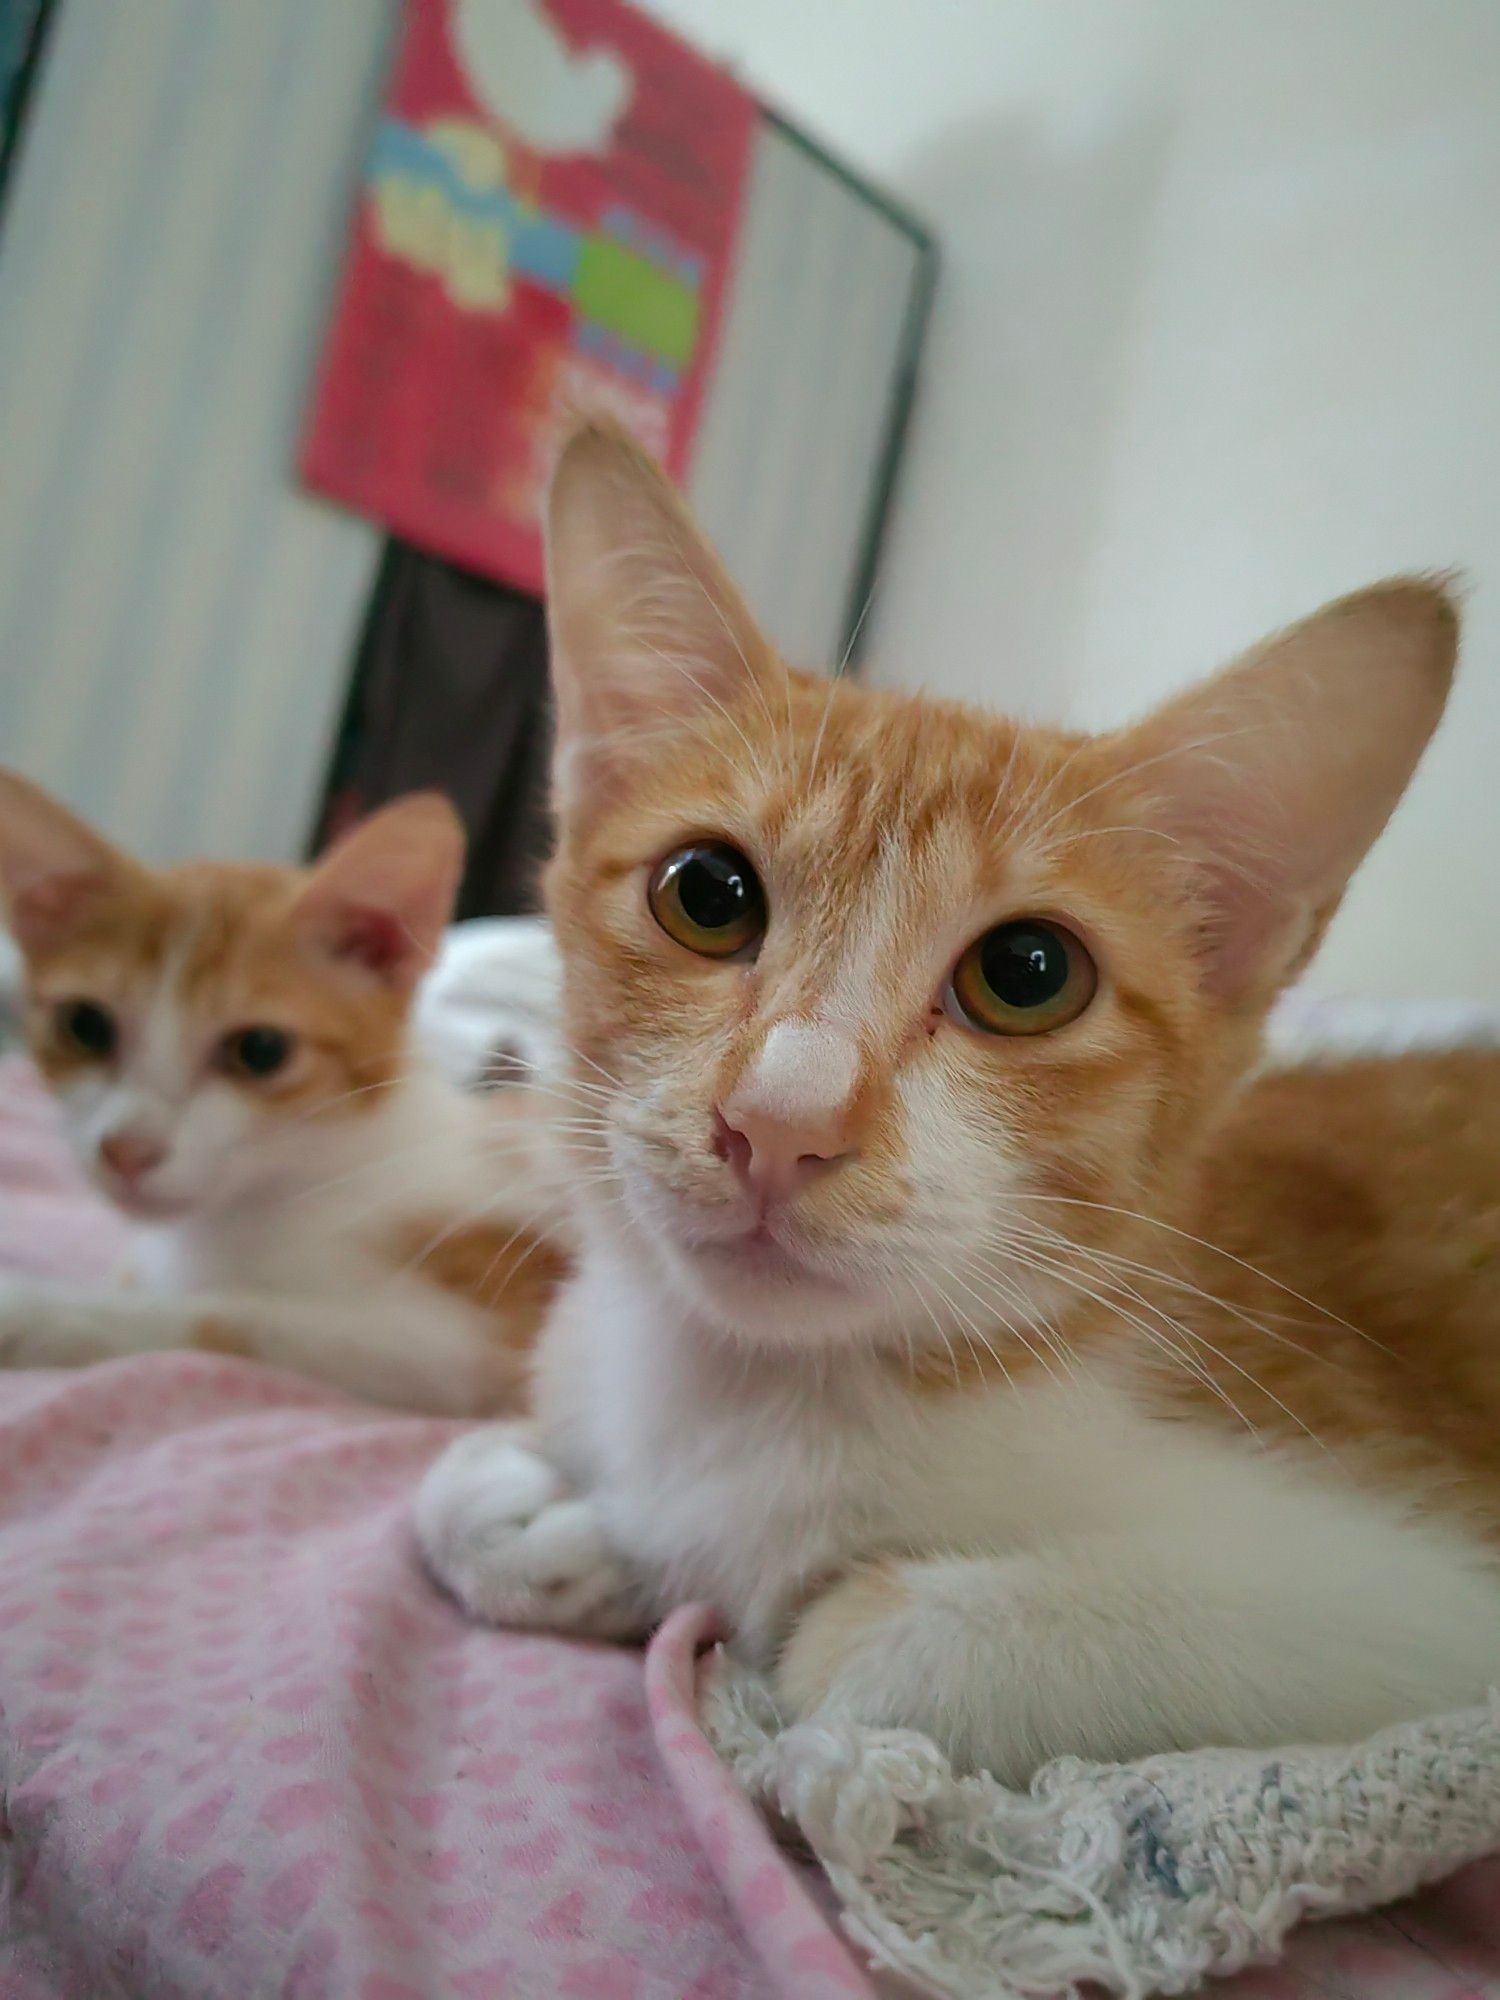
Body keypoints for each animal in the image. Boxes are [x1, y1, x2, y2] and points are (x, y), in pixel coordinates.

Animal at [0, 772, 564, 1416]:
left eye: (261, 1050)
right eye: (86, 1026)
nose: (126, 1152)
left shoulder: (475, 1338)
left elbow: (232, 1316)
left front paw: (35, 1313)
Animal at [418, 426, 1500, 1784]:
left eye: (1028, 974)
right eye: (706, 893)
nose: (778, 1120)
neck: (759, 1396)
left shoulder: (1424, 1600)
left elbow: (841, 1650)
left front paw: (769, 1615)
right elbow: (448, 1506)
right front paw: (547, 1520)